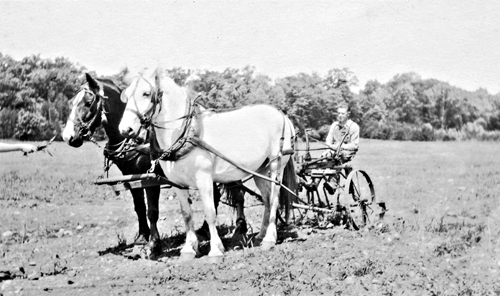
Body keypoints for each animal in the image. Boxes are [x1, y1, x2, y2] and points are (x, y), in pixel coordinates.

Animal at [117, 67, 296, 260]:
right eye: (126, 95)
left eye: (146, 93)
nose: (125, 129)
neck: (185, 132)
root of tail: (281, 115)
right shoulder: (178, 184)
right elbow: (186, 214)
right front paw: (189, 249)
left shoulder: (204, 179)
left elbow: (210, 213)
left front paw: (216, 249)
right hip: (260, 170)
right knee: (267, 200)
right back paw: (261, 236)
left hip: (276, 164)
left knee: (275, 199)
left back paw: (269, 239)